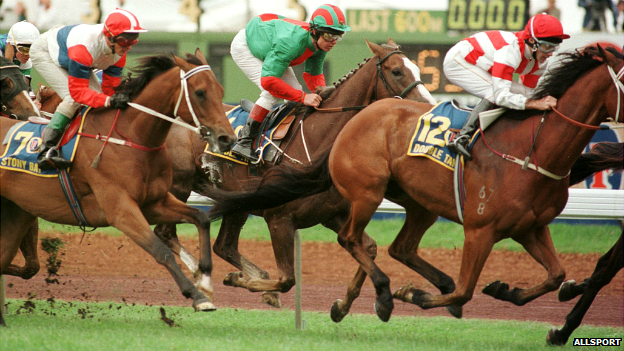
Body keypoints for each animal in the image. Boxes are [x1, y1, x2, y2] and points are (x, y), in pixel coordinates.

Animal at [1, 49, 235, 328]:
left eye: (221, 91)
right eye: (200, 93)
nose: (227, 138)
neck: (130, 137)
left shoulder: (154, 203)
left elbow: (201, 217)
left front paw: (205, 280)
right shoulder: (121, 211)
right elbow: (161, 250)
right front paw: (197, 296)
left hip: (17, 209)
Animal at [154, 37, 436, 310]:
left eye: (418, 68)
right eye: (397, 71)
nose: (428, 107)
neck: (317, 139)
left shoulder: (332, 214)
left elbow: (369, 247)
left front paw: (343, 304)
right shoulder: (279, 219)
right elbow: (288, 278)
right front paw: (241, 281)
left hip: (237, 200)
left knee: (224, 246)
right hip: (180, 186)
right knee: (166, 233)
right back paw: (199, 274)